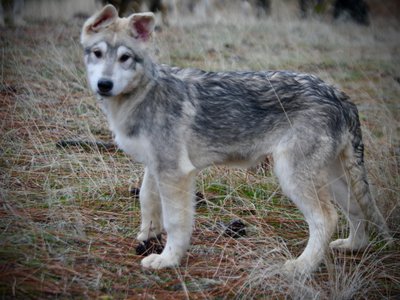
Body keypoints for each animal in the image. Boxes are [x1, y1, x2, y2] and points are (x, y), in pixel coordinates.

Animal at [80, 4, 390, 274]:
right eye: (97, 53)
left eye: (125, 58)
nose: (104, 85)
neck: (142, 94)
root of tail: (339, 95)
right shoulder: (155, 166)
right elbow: (146, 200)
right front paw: (147, 236)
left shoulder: (176, 172)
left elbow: (176, 222)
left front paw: (167, 260)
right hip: (333, 178)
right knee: (355, 210)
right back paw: (352, 246)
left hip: (292, 176)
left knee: (326, 218)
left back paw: (301, 267)